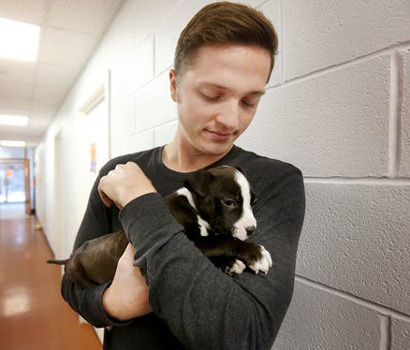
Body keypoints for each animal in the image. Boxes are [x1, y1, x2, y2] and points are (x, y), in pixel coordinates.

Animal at [47, 165, 272, 288]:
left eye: (253, 201)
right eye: (229, 202)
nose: (252, 230)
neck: (193, 206)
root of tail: (71, 257)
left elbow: (216, 243)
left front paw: (230, 263)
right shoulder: (189, 241)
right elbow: (223, 240)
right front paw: (255, 254)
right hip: (81, 277)